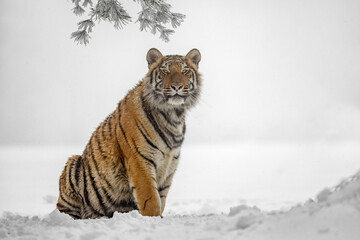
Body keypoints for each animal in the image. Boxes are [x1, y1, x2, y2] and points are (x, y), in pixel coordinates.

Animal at [57, 48, 201, 219]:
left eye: (185, 71)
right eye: (165, 71)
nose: (177, 86)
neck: (173, 116)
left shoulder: (170, 166)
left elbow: (161, 199)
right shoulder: (140, 161)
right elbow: (151, 200)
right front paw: (154, 220)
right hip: (73, 166)